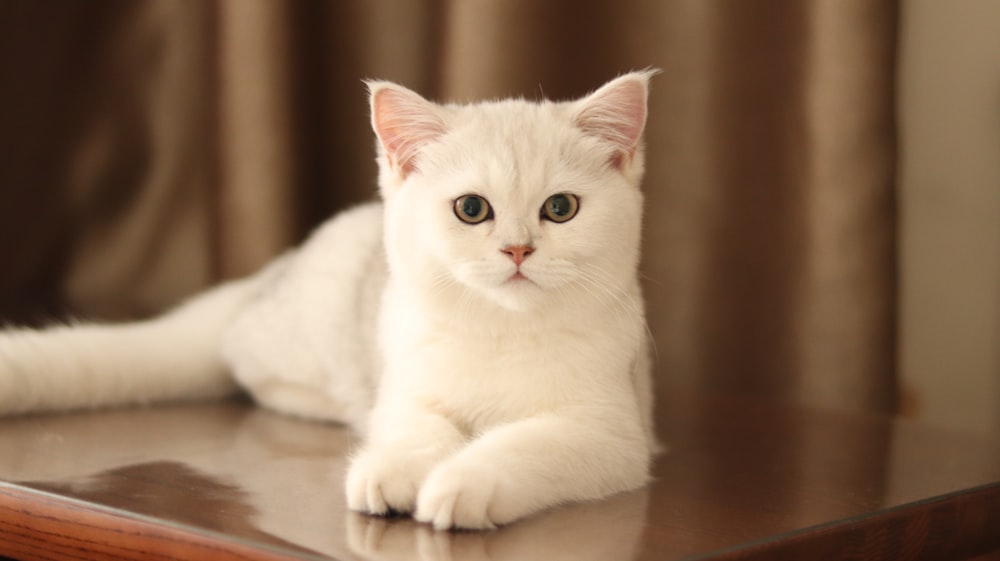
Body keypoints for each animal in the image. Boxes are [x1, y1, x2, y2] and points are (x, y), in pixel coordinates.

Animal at [0, 71, 656, 528]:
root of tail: (275, 271)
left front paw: (464, 484)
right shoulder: (405, 390)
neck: (504, 330)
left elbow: (525, 446)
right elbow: (414, 430)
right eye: (472, 209)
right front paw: (392, 472)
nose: (518, 249)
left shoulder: (610, 434)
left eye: (560, 208)